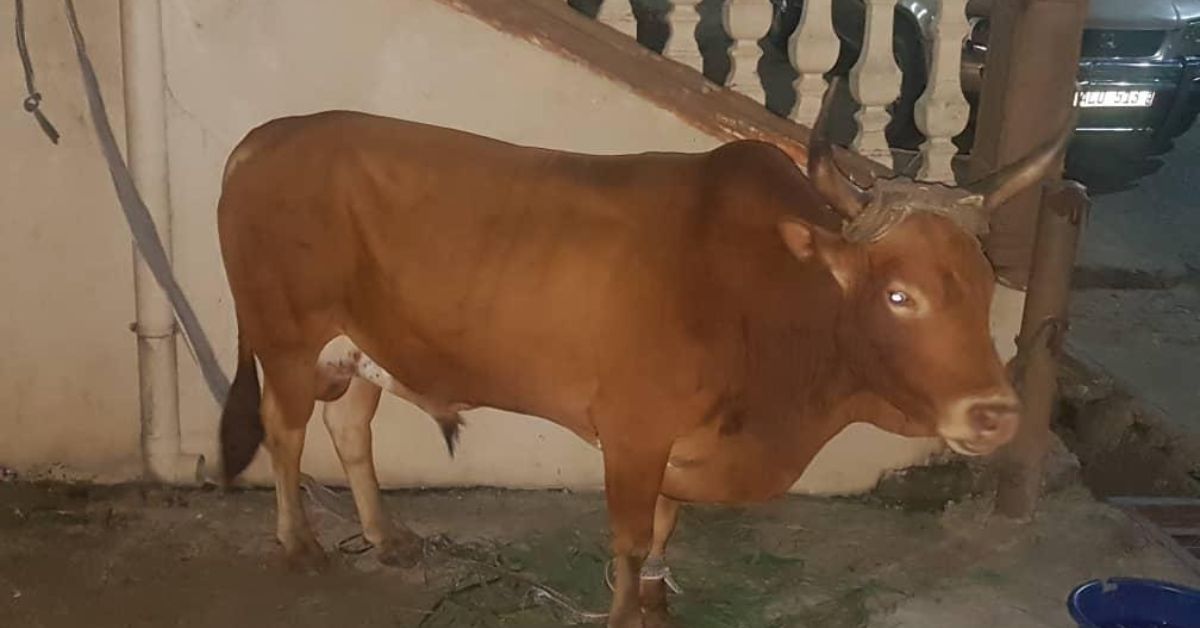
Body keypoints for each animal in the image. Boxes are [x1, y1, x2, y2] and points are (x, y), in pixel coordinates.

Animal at [215, 84, 1069, 627]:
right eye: (899, 296)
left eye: (984, 286)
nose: (995, 415)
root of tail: (263, 138)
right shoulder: (631, 433)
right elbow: (629, 539)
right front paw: (627, 612)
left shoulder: (677, 444)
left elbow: (665, 527)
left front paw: (659, 602)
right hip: (287, 337)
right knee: (284, 431)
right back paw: (299, 545)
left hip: (364, 344)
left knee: (351, 426)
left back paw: (385, 536)